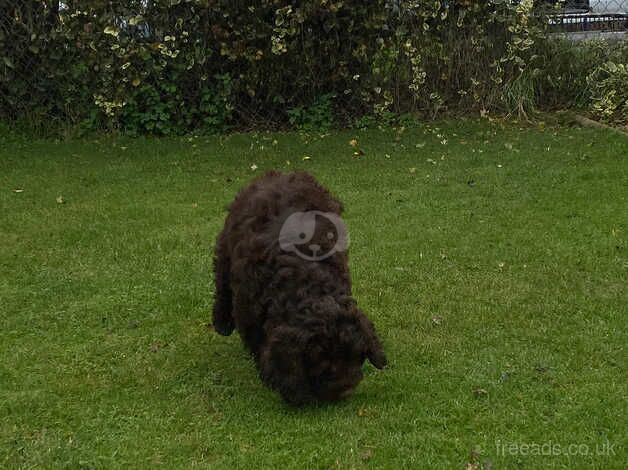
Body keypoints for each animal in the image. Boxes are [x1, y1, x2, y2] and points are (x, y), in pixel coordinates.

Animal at [213, 171, 386, 406]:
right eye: (322, 365)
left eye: (357, 356)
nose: (346, 390)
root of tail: (282, 173)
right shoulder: (248, 309)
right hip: (226, 240)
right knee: (221, 276)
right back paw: (221, 322)